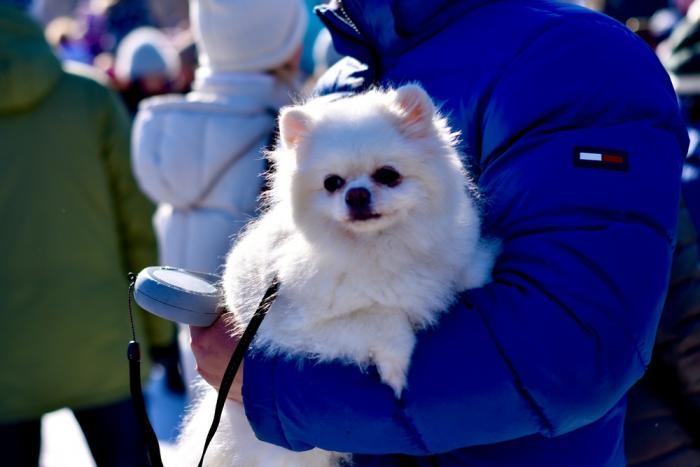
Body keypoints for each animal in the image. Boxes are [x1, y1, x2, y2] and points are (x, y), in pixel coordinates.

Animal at [178, 85, 500, 467]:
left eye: (388, 175)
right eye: (332, 183)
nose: (356, 194)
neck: (377, 248)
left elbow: (461, 272)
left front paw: (476, 270)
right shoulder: (299, 329)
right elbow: (379, 320)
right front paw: (397, 367)